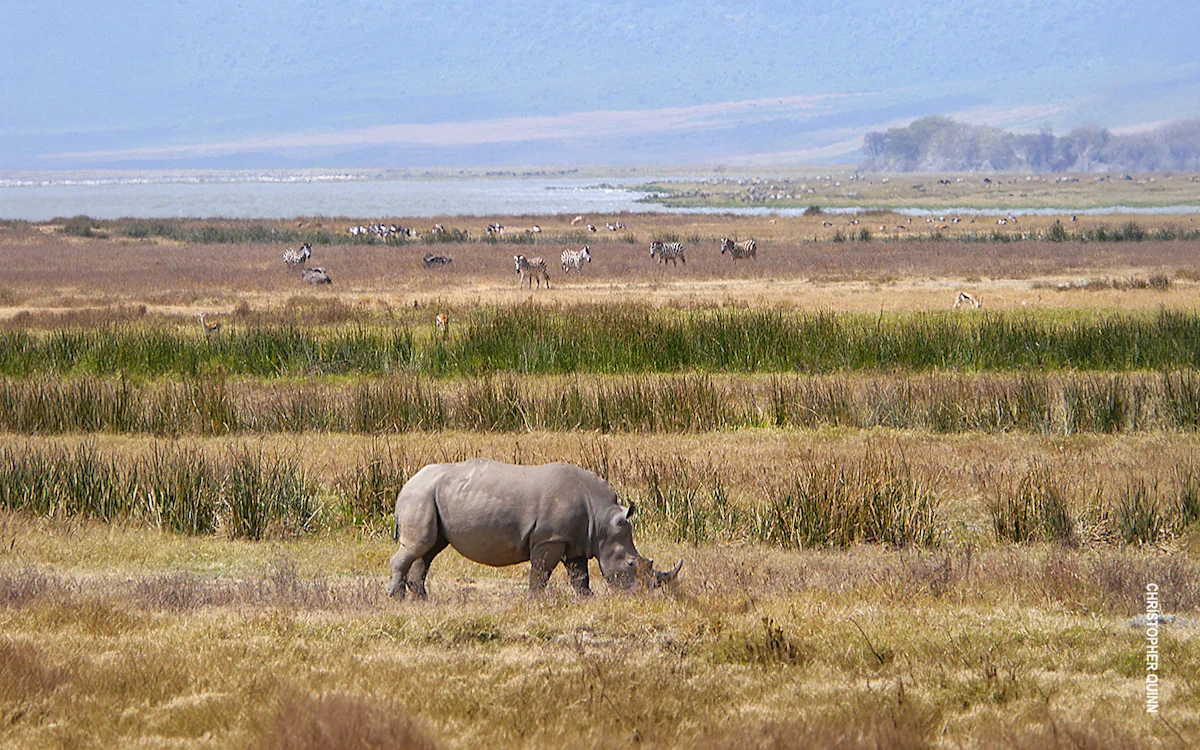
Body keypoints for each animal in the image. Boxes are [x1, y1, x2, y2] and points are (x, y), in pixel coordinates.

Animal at [387, 459, 682, 599]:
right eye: (631, 563)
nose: (643, 595)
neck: (602, 518)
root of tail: (406, 483)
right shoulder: (550, 539)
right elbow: (540, 572)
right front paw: (536, 600)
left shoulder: (575, 540)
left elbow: (579, 576)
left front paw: (588, 598)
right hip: (420, 495)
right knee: (419, 545)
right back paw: (397, 597)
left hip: (429, 495)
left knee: (429, 549)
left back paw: (422, 599)